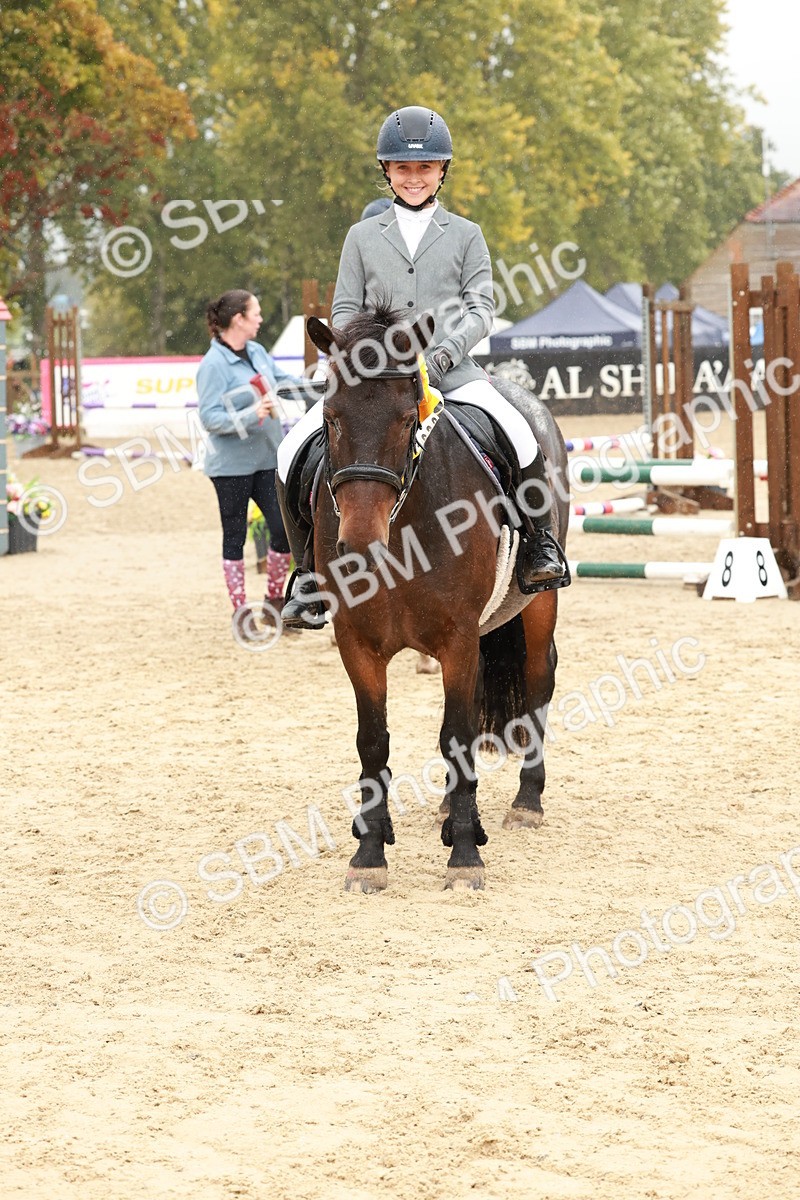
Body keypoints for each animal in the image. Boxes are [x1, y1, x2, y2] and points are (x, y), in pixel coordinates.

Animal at [304, 304, 569, 892]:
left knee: (538, 678)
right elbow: (373, 741)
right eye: (331, 418)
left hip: (537, 604)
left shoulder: (458, 638)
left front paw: (466, 856)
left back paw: (526, 802)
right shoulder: (356, 642)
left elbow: (457, 737)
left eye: (408, 420)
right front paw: (369, 856)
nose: (360, 545)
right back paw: (453, 808)